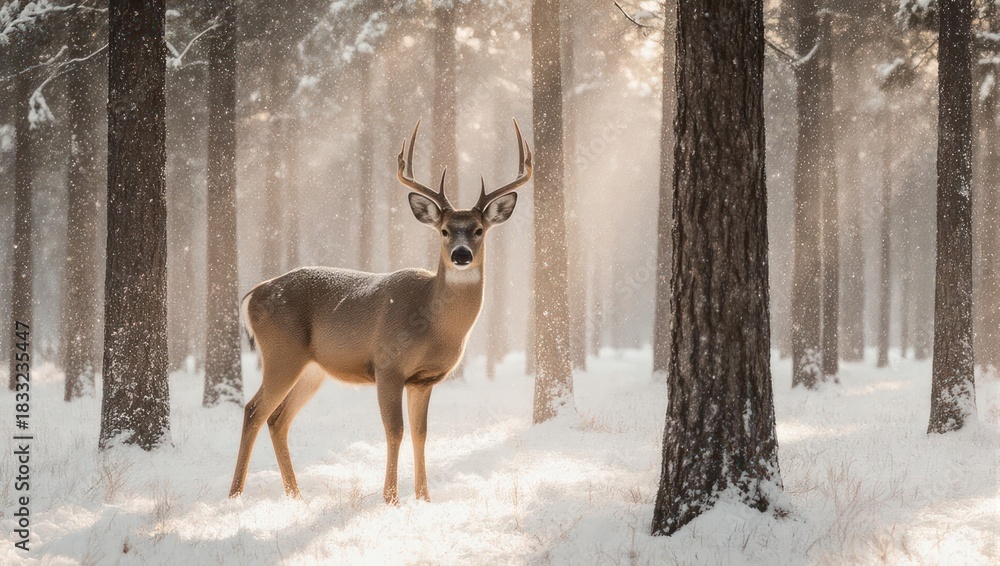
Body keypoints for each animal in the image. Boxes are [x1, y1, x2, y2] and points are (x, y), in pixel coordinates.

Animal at [229, 119, 531, 503]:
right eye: (445, 231)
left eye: (478, 230)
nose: (460, 255)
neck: (434, 327)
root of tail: (252, 295)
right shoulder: (388, 365)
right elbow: (395, 431)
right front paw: (390, 499)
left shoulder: (424, 379)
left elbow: (421, 433)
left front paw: (424, 498)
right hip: (282, 353)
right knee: (254, 410)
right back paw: (235, 496)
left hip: (312, 369)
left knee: (278, 419)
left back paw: (295, 495)